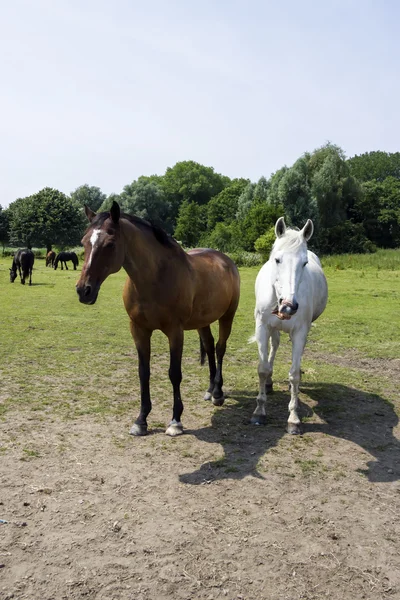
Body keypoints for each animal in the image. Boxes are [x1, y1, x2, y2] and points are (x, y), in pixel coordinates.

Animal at [77, 202, 241, 436]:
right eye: (84, 242)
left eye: (110, 244)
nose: (84, 291)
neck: (154, 279)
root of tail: (225, 259)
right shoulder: (139, 330)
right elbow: (143, 373)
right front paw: (141, 420)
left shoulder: (175, 332)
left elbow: (174, 373)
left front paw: (175, 421)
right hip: (203, 322)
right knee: (210, 347)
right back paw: (210, 390)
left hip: (227, 316)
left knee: (219, 348)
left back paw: (218, 393)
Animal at [252, 218, 326, 434]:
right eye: (277, 260)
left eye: (304, 263)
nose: (288, 306)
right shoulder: (262, 328)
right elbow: (262, 368)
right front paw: (259, 412)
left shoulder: (300, 333)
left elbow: (294, 375)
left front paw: (293, 418)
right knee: (274, 347)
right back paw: (269, 383)